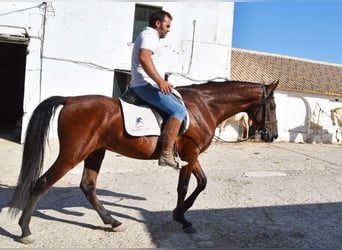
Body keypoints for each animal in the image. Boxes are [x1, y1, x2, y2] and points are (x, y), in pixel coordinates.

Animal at [9, 79, 280, 242]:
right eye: (273, 106)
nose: (272, 135)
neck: (203, 106)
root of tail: (70, 99)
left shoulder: (190, 157)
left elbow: (202, 183)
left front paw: (180, 214)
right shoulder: (190, 155)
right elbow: (185, 187)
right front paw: (181, 217)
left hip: (95, 152)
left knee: (88, 186)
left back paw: (112, 221)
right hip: (73, 154)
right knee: (42, 183)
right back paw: (25, 230)